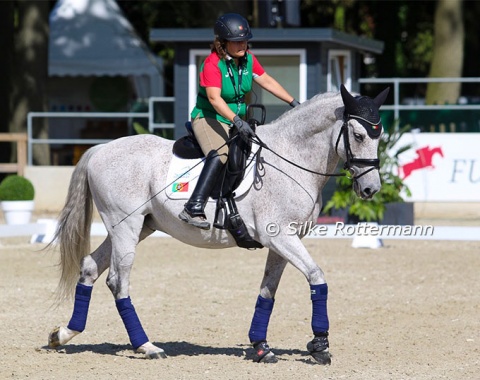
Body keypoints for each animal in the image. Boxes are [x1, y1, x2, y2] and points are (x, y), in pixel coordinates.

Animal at [47, 84, 388, 364]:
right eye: (359, 136)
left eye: (379, 135)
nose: (371, 189)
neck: (292, 158)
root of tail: (100, 149)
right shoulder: (280, 237)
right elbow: (317, 277)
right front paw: (319, 346)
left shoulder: (283, 242)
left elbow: (267, 291)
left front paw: (261, 347)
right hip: (126, 227)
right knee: (118, 281)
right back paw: (146, 346)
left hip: (138, 227)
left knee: (90, 267)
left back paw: (63, 334)